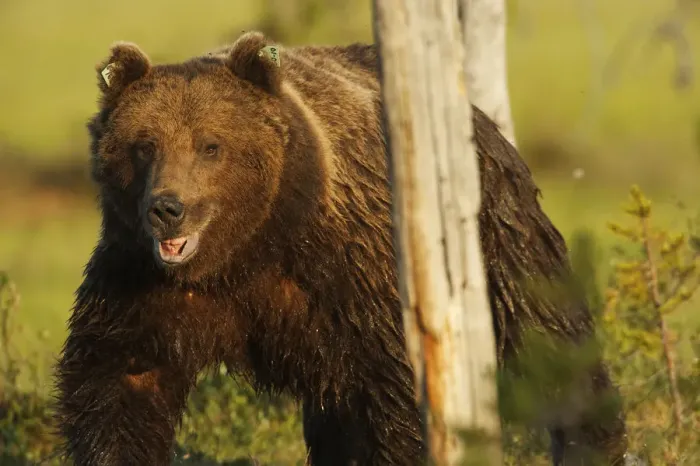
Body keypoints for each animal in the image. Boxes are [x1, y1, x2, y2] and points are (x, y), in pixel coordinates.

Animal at [54, 30, 628, 465]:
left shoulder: (351, 274)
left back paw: (595, 441)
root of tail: (476, 114)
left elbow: (395, 392)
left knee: (548, 334)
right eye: (144, 145)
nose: (167, 208)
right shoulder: (141, 283)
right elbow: (119, 380)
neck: (248, 250)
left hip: (496, 226)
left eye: (211, 145)